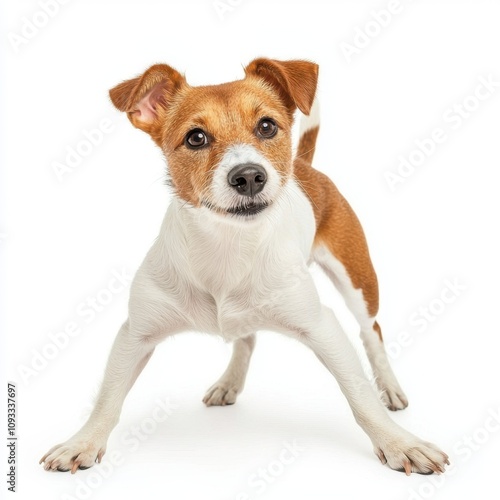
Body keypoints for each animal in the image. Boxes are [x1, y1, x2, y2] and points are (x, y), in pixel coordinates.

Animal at [40, 56, 450, 474]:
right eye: (196, 138)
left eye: (267, 126)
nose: (250, 176)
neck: (228, 246)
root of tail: (303, 165)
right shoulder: (135, 335)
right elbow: (107, 397)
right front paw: (83, 442)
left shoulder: (323, 327)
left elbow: (360, 394)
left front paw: (399, 443)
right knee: (247, 338)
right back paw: (229, 382)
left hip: (357, 279)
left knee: (371, 331)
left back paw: (390, 387)